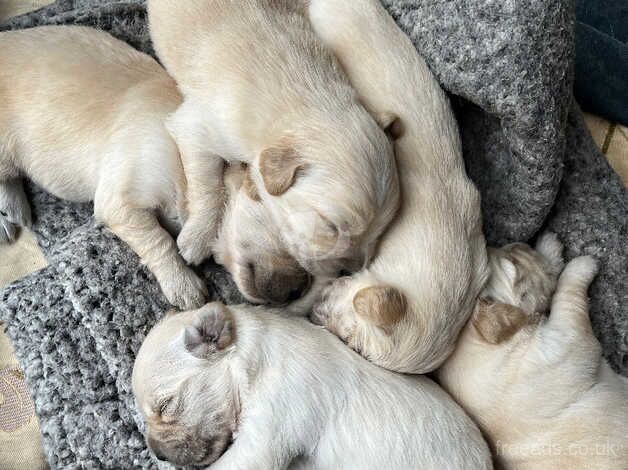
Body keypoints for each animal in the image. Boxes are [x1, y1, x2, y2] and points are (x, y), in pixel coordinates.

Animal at [148, 0, 398, 276]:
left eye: (381, 230)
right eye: (331, 227)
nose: (350, 272)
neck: (309, 101)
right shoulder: (198, 127)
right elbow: (208, 185)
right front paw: (198, 238)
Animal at [436, 235, 628, 470]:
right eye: (513, 263)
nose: (521, 244)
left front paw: (548, 244)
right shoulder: (565, 340)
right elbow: (567, 297)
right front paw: (581, 265)